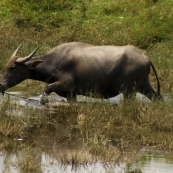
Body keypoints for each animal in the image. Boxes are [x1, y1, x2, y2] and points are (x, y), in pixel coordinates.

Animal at [0, 42, 161, 103]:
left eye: (12, 67)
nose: (1, 85)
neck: (54, 61)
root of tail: (145, 56)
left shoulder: (66, 85)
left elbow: (47, 88)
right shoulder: (72, 95)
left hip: (129, 91)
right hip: (144, 86)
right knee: (158, 98)